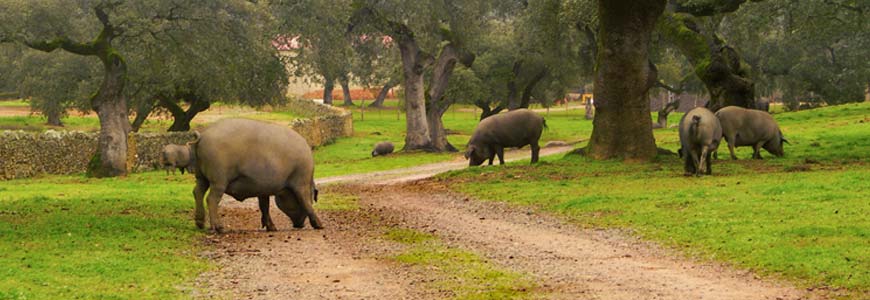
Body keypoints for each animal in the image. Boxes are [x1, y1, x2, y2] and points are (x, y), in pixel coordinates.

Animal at [192, 118, 322, 233]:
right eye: (312, 196)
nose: (300, 225)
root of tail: (203, 136)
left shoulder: (263, 189)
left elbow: (264, 206)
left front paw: (272, 228)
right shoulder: (301, 182)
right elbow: (306, 202)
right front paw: (320, 226)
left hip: (201, 176)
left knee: (197, 192)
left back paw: (200, 224)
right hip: (219, 179)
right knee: (211, 199)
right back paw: (219, 228)